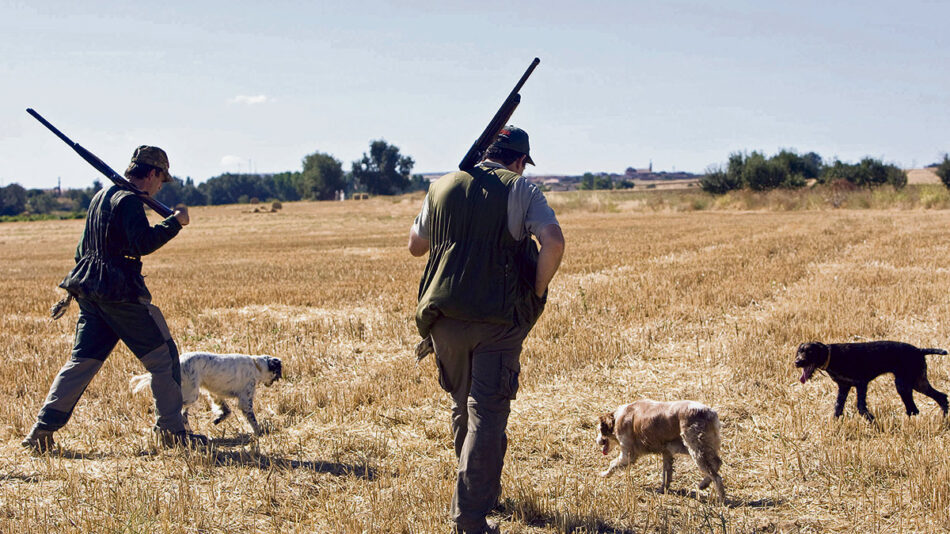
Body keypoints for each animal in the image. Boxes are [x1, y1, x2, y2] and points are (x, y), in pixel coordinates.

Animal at [132, 354, 284, 438]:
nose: (274, 381)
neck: (256, 365)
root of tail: (178, 362)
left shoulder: (215, 394)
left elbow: (226, 410)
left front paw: (217, 419)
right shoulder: (245, 400)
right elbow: (252, 419)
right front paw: (259, 432)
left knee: (183, 414)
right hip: (192, 394)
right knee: (178, 410)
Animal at [800, 344, 948, 422]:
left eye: (809, 352)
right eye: (799, 352)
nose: (797, 362)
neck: (832, 356)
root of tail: (919, 350)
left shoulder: (861, 384)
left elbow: (861, 407)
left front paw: (872, 420)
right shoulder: (844, 387)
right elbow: (838, 408)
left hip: (905, 385)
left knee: (915, 408)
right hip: (917, 383)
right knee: (939, 398)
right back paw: (943, 420)